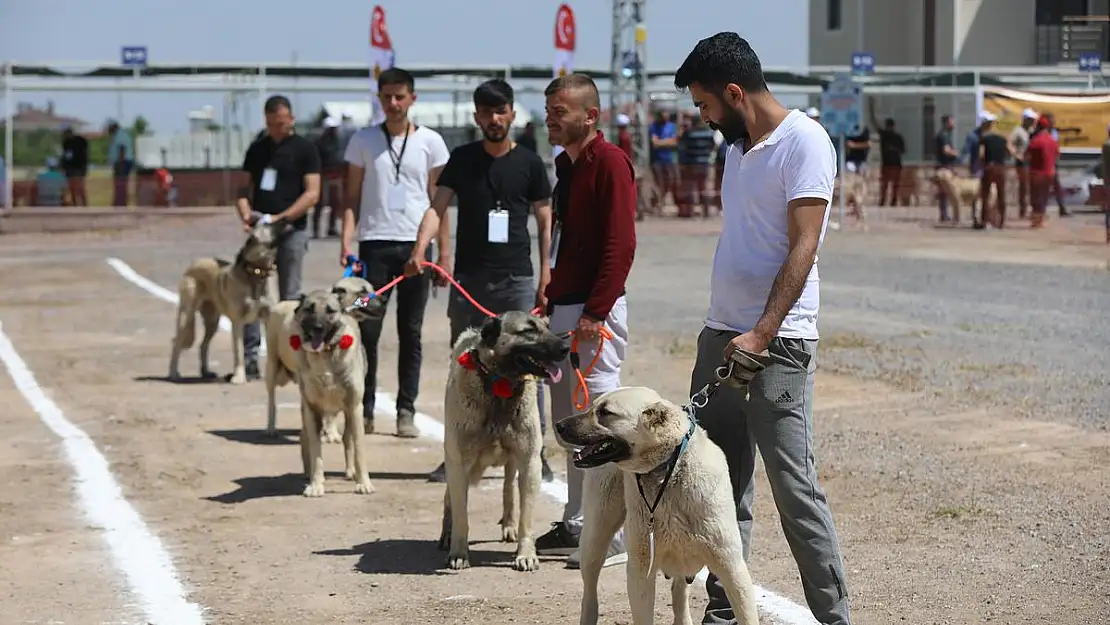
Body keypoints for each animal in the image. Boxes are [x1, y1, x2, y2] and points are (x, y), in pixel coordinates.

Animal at [167, 222, 284, 384]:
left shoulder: (268, 317)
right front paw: (239, 377)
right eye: (268, 224)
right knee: (177, 343)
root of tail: (193, 264)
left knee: (203, 345)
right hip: (187, 315)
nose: (285, 220)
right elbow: (239, 351)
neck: (256, 272)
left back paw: (206, 372)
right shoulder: (238, 322)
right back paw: (173, 373)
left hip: (212, 321)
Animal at [261, 276, 384, 437]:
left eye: (372, 288)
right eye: (362, 291)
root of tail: (280, 304)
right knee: (272, 400)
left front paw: (331, 432)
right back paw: (270, 428)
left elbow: (331, 410)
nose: (384, 300)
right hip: (272, 365)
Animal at [290, 284, 386, 499]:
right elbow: (315, 451)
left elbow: (358, 448)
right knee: (303, 436)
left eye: (330, 311)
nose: (318, 327)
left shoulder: (355, 407)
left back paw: (352, 472)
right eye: (309, 309)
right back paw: (308, 473)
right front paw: (316, 484)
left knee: (347, 439)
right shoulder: (311, 410)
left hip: (351, 413)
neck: (324, 355)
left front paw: (364, 483)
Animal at [437, 313, 568, 572]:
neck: (500, 385)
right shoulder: (459, 465)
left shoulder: (529, 463)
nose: (566, 348)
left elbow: (526, 517)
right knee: (449, 499)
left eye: (548, 327)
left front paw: (525, 554)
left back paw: (508, 525)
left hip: (512, 463)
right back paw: (446, 533)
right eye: (528, 330)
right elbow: (461, 514)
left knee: (508, 489)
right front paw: (459, 552)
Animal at [559, 386, 759, 625]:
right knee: (590, 592)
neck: (668, 471)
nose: (558, 425)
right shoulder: (640, 571)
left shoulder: (731, 567)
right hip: (595, 537)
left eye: (605, 412)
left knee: (679, 592)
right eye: (593, 407)